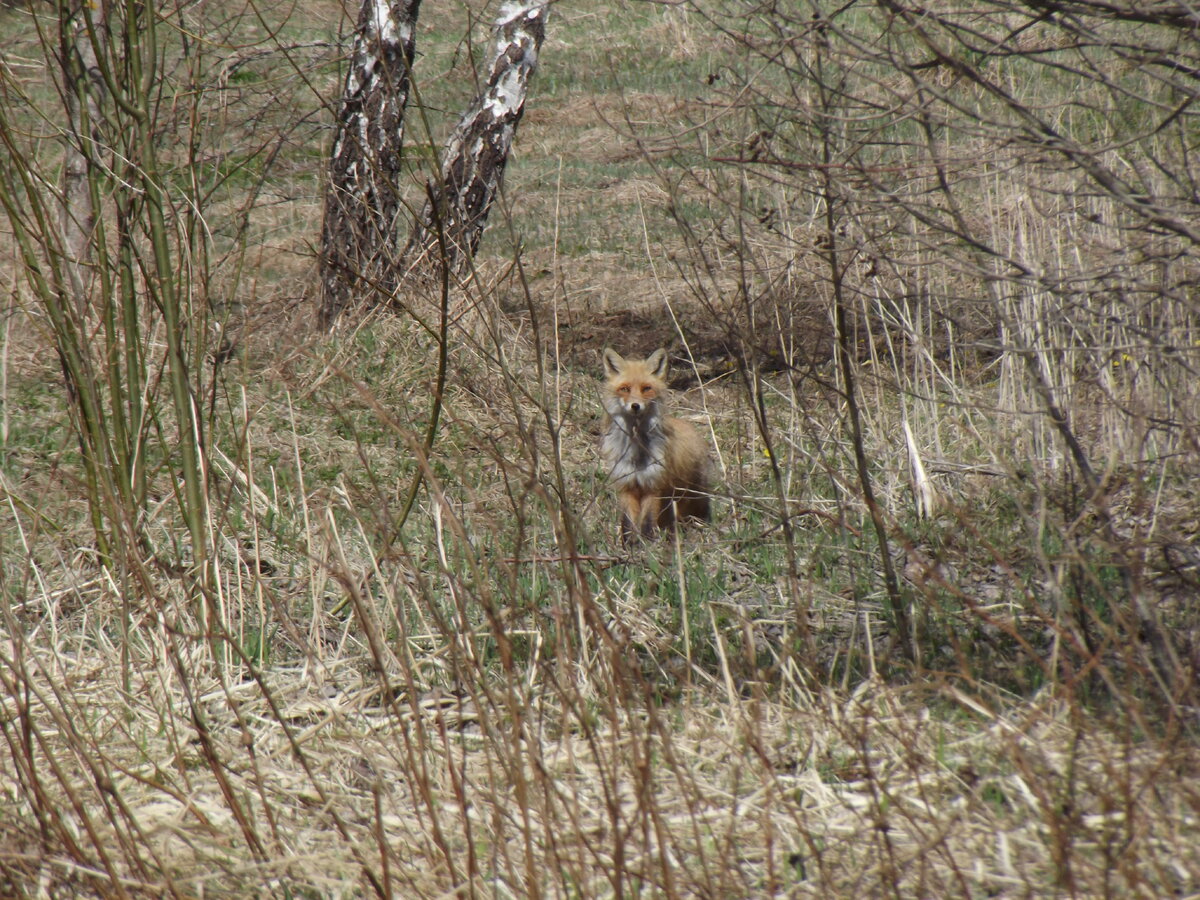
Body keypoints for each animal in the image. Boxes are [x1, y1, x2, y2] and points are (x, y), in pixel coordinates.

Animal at [600, 348, 710, 542]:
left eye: (646, 388)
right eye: (625, 389)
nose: (635, 406)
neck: (636, 452)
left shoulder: (653, 486)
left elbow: (647, 523)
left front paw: (648, 543)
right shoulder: (627, 485)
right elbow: (628, 524)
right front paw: (629, 546)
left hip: (689, 496)